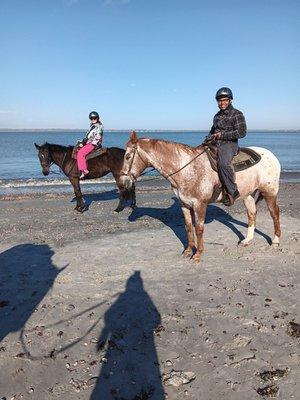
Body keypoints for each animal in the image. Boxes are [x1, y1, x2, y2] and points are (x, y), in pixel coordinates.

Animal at [119, 131, 282, 262]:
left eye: (128, 156)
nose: (123, 182)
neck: (187, 169)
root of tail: (271, 155)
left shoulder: (200, 204)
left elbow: (199, 229)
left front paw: (198, 254)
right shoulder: (184, 204)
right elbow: (188, 228)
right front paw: (188, 251)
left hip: (269, 192)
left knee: (274, 214)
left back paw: (275, 241)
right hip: (247, 194)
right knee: (252, 214)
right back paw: (247, 240)